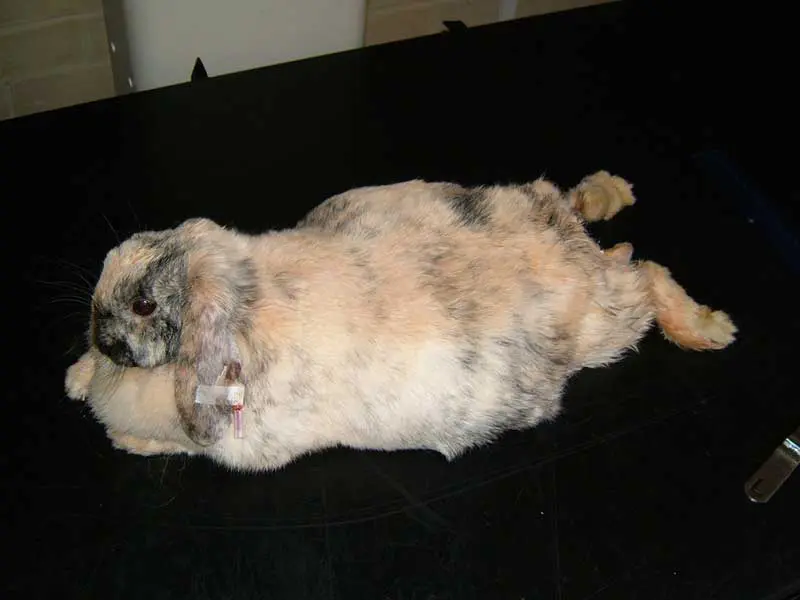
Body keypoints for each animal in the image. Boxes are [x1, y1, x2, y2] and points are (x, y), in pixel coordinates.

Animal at [65, 171, 736, 471]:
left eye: (145, 306)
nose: (98, 333)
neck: (244, 293)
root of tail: (565, 235)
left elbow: (169, 439)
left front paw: (124, 437)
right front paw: (76, 379)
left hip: (605, 327)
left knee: (648, 275)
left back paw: (708, 328)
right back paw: (614, 194)